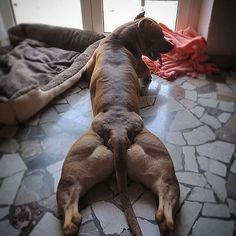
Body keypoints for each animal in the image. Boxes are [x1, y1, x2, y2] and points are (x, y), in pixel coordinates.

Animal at [56, 12, 179, 236]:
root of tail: (118, 131)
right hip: (158, 164)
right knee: (165, 200)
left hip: (74, 167)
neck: (118, 41)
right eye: (158, 35)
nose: (172, 45)